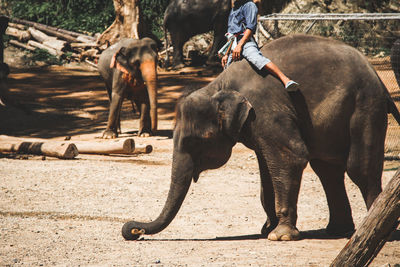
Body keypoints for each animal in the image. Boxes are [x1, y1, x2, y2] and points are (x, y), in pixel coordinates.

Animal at [121, 34, 400, 242]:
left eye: (194, 141)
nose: (133, 230)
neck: (218, 85)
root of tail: (378, 79)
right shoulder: (255, 124)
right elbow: (267, 168)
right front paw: (267, 229)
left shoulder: (266, 109)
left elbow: (291, 156)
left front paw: (280, 236)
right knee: (327, 169)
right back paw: (336, 231)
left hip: (366, 106)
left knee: (358, 168)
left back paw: (374, 232)